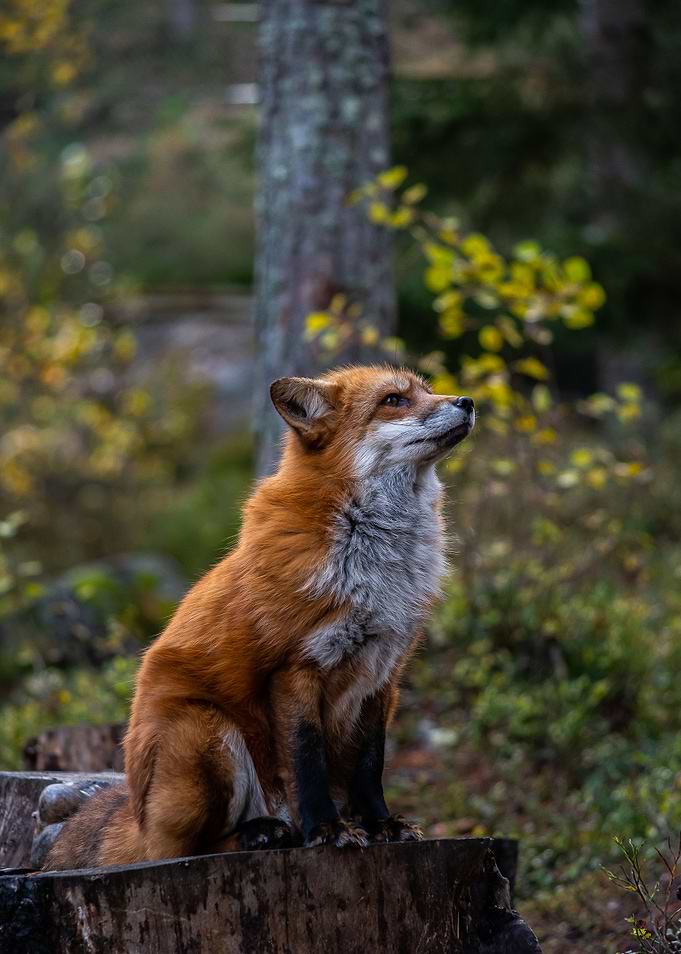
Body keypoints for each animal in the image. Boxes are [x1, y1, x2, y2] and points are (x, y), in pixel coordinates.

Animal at [43, 364, 475, 870]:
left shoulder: (383, 675)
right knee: (179, 849)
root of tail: (138, 813)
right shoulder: (294, 668)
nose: (467, 401)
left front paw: (380, 824)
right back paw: (263, 834)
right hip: (205, 734)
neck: (375, 563)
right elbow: (307, 762)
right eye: (394, 400)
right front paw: (326, 830)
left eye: (427, 391)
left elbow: (371, 766)